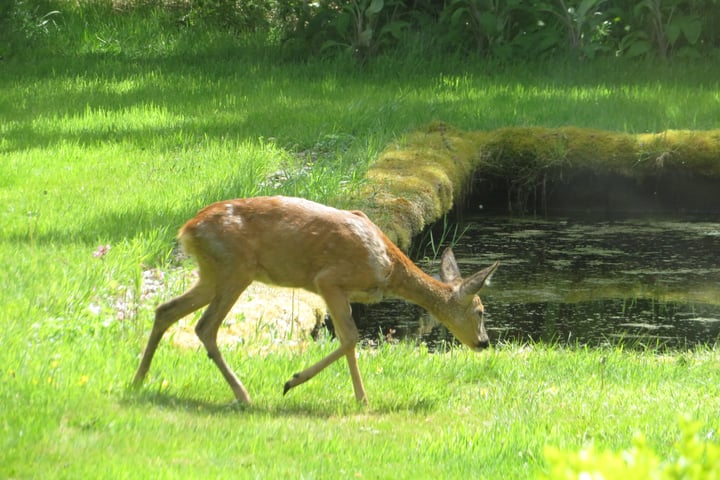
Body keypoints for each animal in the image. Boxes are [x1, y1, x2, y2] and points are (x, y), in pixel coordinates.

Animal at [132, 195, 498, 404]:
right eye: (480, 311)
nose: (484, 342)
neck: (387, 268)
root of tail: (187, 231)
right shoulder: (329, 279)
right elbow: (350, 337)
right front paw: (303, 384)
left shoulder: (341, 290)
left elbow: (348, 338)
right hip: (235, 269)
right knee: (205, 326)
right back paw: (243, 395)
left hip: (213, 274)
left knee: (166, 309)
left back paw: (139, 380)